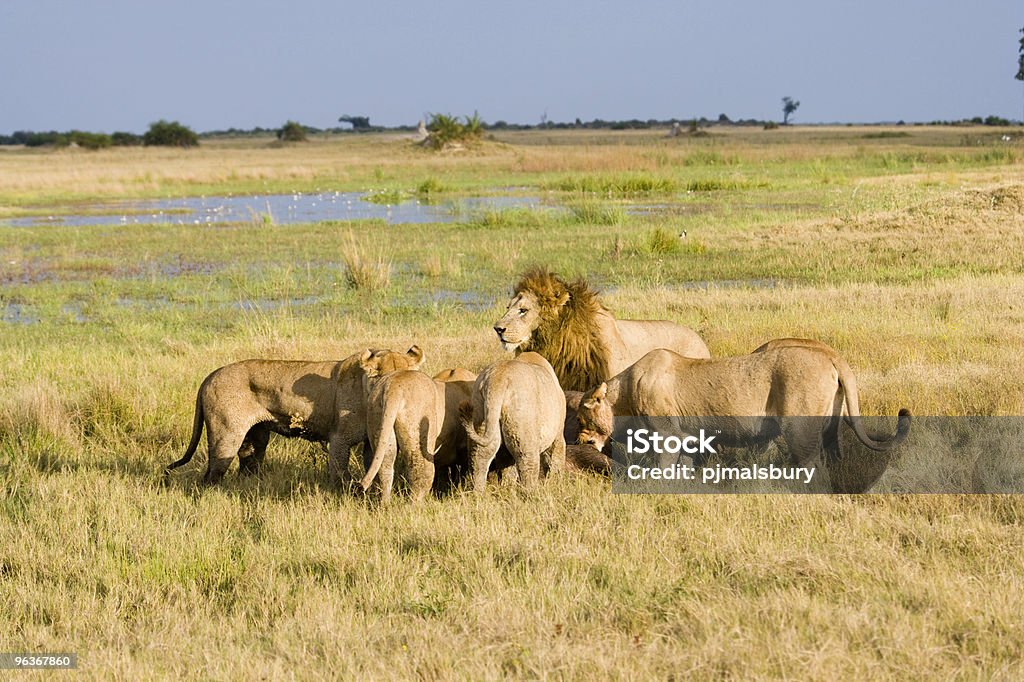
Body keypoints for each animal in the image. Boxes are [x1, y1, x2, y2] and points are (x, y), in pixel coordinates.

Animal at [162, 346, 423, 483]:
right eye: (384, 377)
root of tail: (210, 375)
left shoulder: (369, 440)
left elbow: (373, 464)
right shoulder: (339, 438)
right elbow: (340, 473)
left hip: (256, 436)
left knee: (248, 463)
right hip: (226, 434)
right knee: (212, 474)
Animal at [458, 350, 565, 489]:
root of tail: (498, 379)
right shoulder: (557, 434)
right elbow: (555, 460)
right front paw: (556, 485)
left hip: (480, 413)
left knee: (480, 458)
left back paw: (484, 491)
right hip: (523, 428)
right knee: (527, 464)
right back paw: (531, 492)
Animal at [577, 346, 913, 489]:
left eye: (583, 419)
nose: (581, 440)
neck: (624, 394)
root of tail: (832, 356)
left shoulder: (667, 434)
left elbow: (664, 469)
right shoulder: (686, 437)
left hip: (799, 430)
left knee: (813, 468)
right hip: (830, 428)